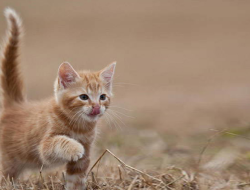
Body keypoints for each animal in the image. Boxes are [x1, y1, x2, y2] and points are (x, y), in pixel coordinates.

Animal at [0, 7, 115, 190]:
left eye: (102, 97)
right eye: (84, 97)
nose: (97, 107)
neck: (79, 126)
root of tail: (16, 105)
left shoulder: (83, 159)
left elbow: (76, 178)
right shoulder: (45, 147)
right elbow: (59, 142)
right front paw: (75, 148)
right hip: (8, 160)